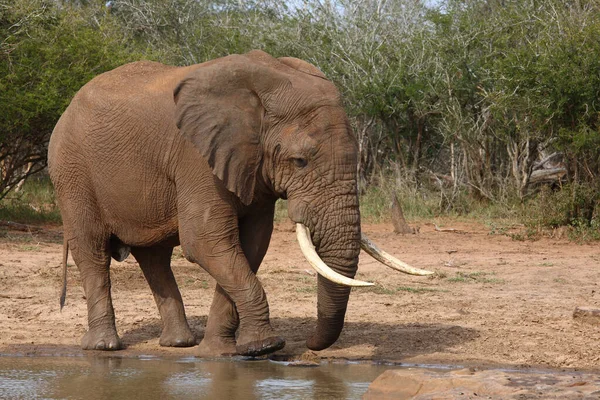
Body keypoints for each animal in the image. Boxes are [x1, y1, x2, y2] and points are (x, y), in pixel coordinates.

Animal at [48, 49, 432, 356]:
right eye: (300, 162)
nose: (309, 345)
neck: (266, 86)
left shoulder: (252, 164)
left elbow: (250, 245)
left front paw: (223, 352)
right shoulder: (196, 158)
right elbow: (206, 242)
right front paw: (265, 347)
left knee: (154, 257)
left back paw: (180, 344)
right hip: (71, 172)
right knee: (92, 250)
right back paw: (104, 347)